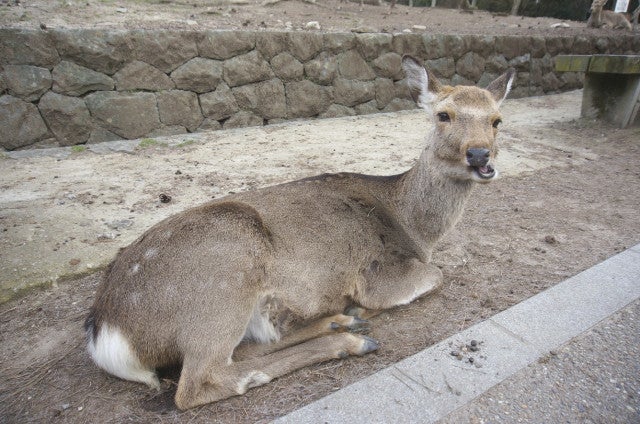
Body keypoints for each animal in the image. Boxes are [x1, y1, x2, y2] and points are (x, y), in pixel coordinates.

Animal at [85, 56, 516, 410]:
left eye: (497, 120)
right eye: (443, 115)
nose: (480, 156)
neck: (414, 229)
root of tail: (106, 331)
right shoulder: (379, 273)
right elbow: (436, 275)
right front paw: (360, 310)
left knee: (247, 349)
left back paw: (339, 324)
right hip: (224, 276)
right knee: (199, 382)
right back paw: (350, 339)